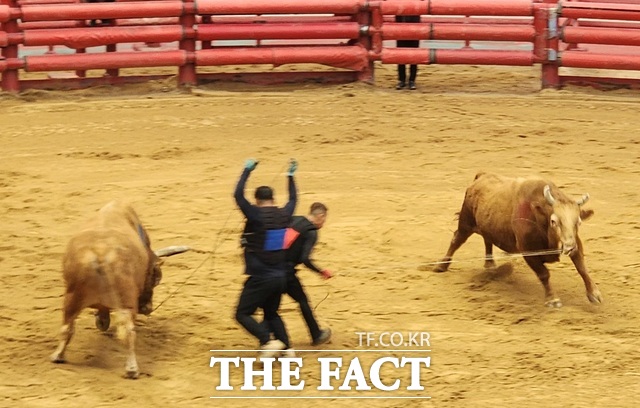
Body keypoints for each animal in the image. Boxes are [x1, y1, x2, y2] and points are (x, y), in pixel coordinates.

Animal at [51, 201, 165, 380]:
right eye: (156, 279)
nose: (148, 309)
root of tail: (100, 253)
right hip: (125, 302)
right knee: (127, 331)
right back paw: (132, 369)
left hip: (71, 298)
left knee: (67, 327)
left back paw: (58, 356)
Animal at [432, 171, 604, 308]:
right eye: (554, 221)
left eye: (578, 222)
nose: (568, 247)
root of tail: (481, 176)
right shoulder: (528, 251)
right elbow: (544, 274)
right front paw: (552, 300)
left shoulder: (576, 242)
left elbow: (582, 267)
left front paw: (594, 293)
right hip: (466, 222)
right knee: (456, 240)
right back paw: (442, 265)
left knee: (487, 239)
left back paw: (490, 264)